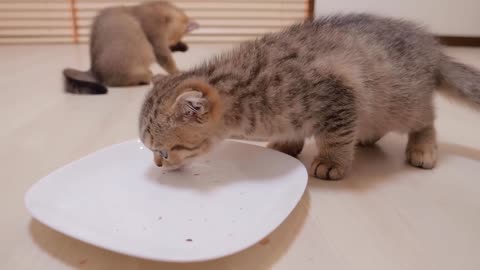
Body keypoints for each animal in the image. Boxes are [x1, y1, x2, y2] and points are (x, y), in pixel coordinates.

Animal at [138, 13, 480, 180]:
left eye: (164, 151)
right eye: (153, 151)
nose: (157, 163)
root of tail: (433, 48)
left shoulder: (338, 94)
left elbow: (335, 137)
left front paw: (331, 162)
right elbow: (293, 130)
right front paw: (287, 144)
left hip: (402, 102)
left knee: (426, 120)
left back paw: (422, 147)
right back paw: (367, 136)